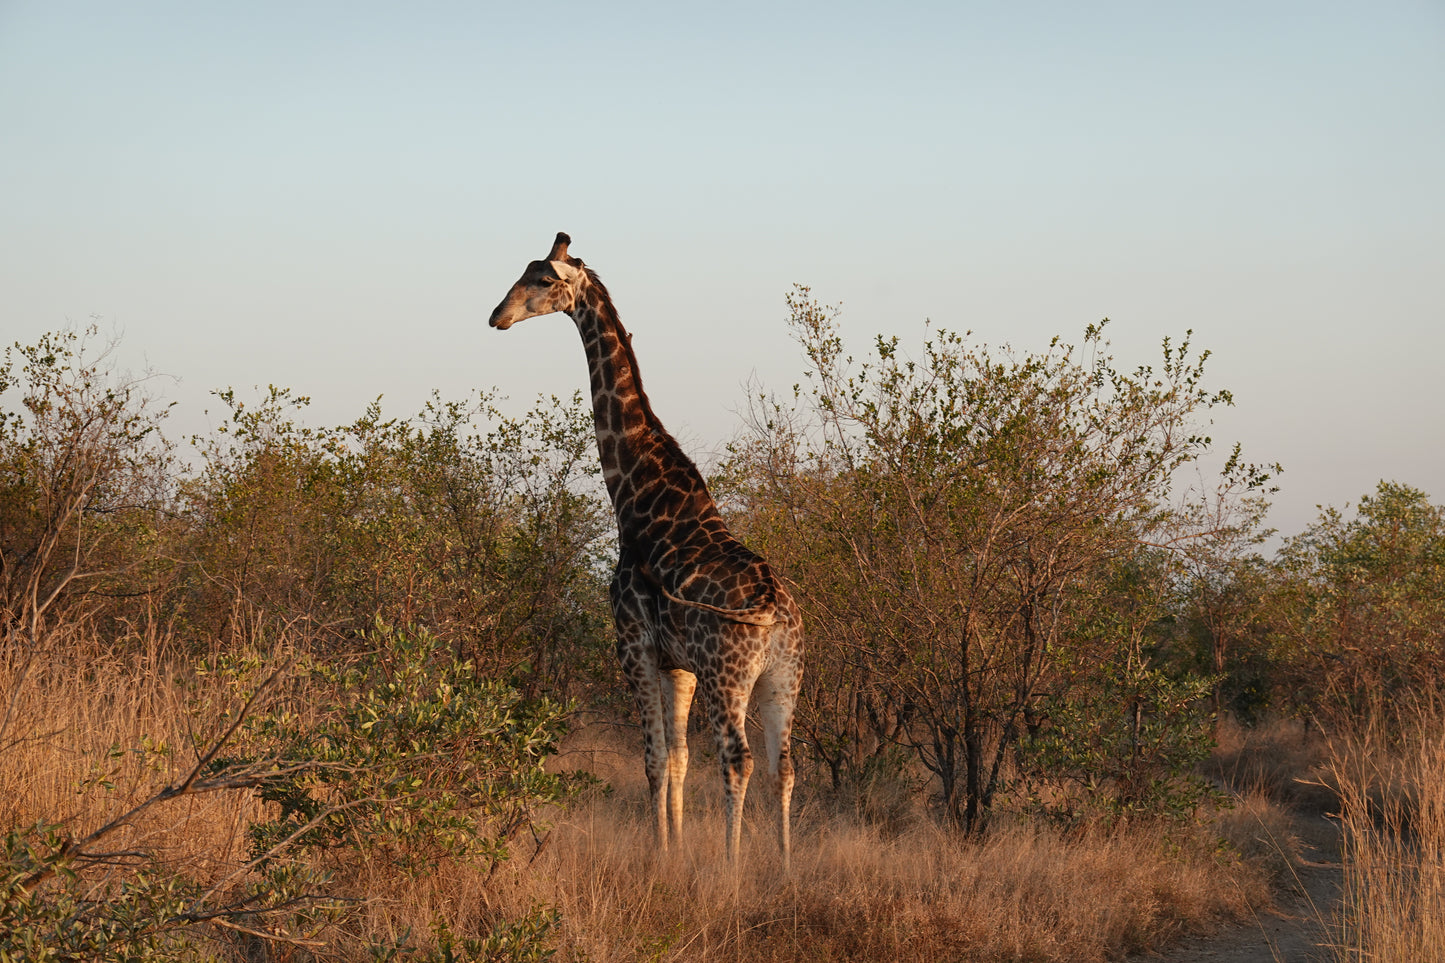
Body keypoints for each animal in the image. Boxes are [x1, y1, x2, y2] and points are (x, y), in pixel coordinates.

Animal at [485, 231, 803, 861]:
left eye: (542, 280)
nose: (497, 316)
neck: (635, 494)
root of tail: (775, 612)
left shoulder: (632, 642)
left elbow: (654, 761)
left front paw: (662, 854)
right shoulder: (675, 663)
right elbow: (677, 760)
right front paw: (674, 850)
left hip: (729, 676)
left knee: (738, 760)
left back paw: (731, 866)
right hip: (784, 678)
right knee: (783, 765)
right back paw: (783, 866)